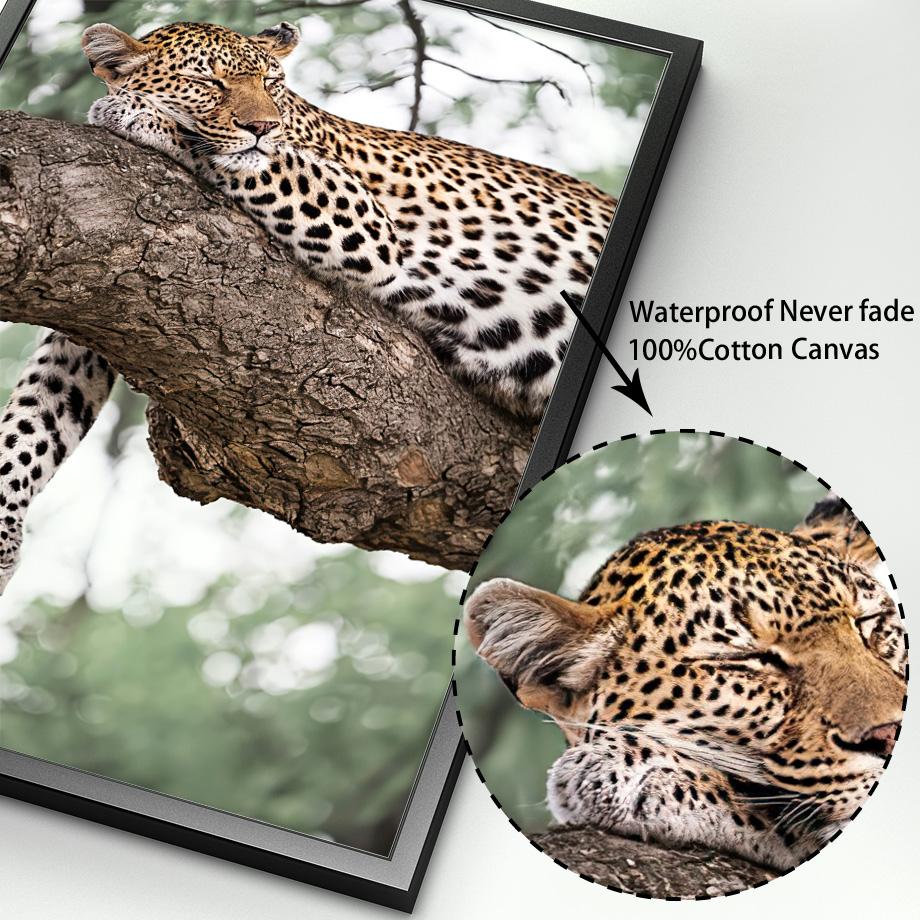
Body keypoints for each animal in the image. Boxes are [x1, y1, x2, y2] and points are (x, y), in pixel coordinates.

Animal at [0, 18, 616, 592]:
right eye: (207, 81)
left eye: (271, 83)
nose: (262, 126)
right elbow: (33, 417)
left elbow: (240, 157)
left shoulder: (365, 224)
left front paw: (133, 111)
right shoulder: (92, 300)